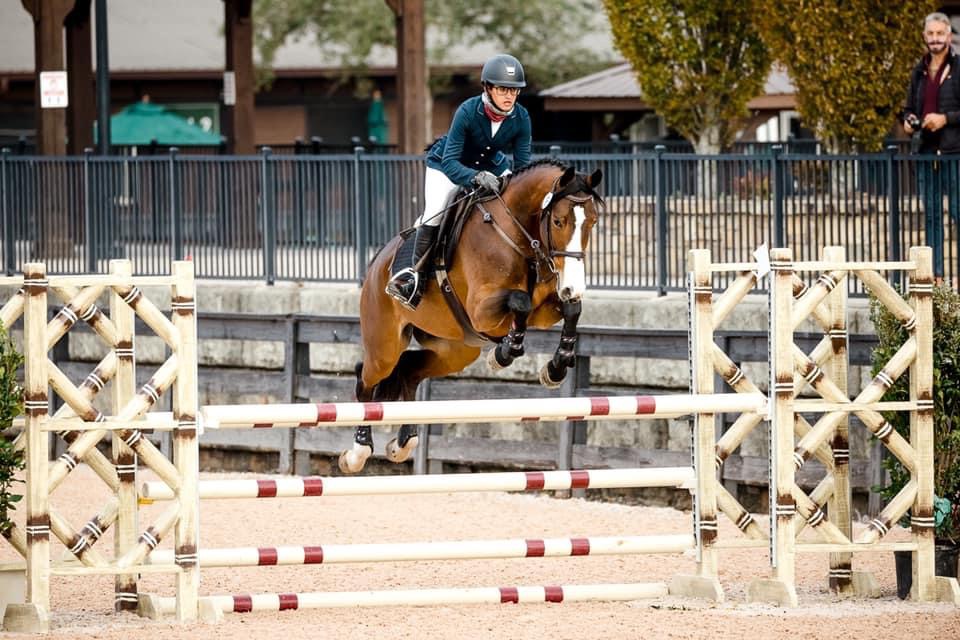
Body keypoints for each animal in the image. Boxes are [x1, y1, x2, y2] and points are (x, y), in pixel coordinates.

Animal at [339, 159, 604, 473]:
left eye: (593, 221)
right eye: (558, 222)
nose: (573, 286)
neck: (518, 235)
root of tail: (376, 264)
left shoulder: (546, 308)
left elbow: (570, 309)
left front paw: (556, 367)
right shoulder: (481, 310)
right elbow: (521, 301)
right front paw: (503, 353)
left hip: (456, 350)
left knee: (409, 371)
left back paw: (403, 444)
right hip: (384, 347)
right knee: (366, 379)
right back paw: (357, 453)